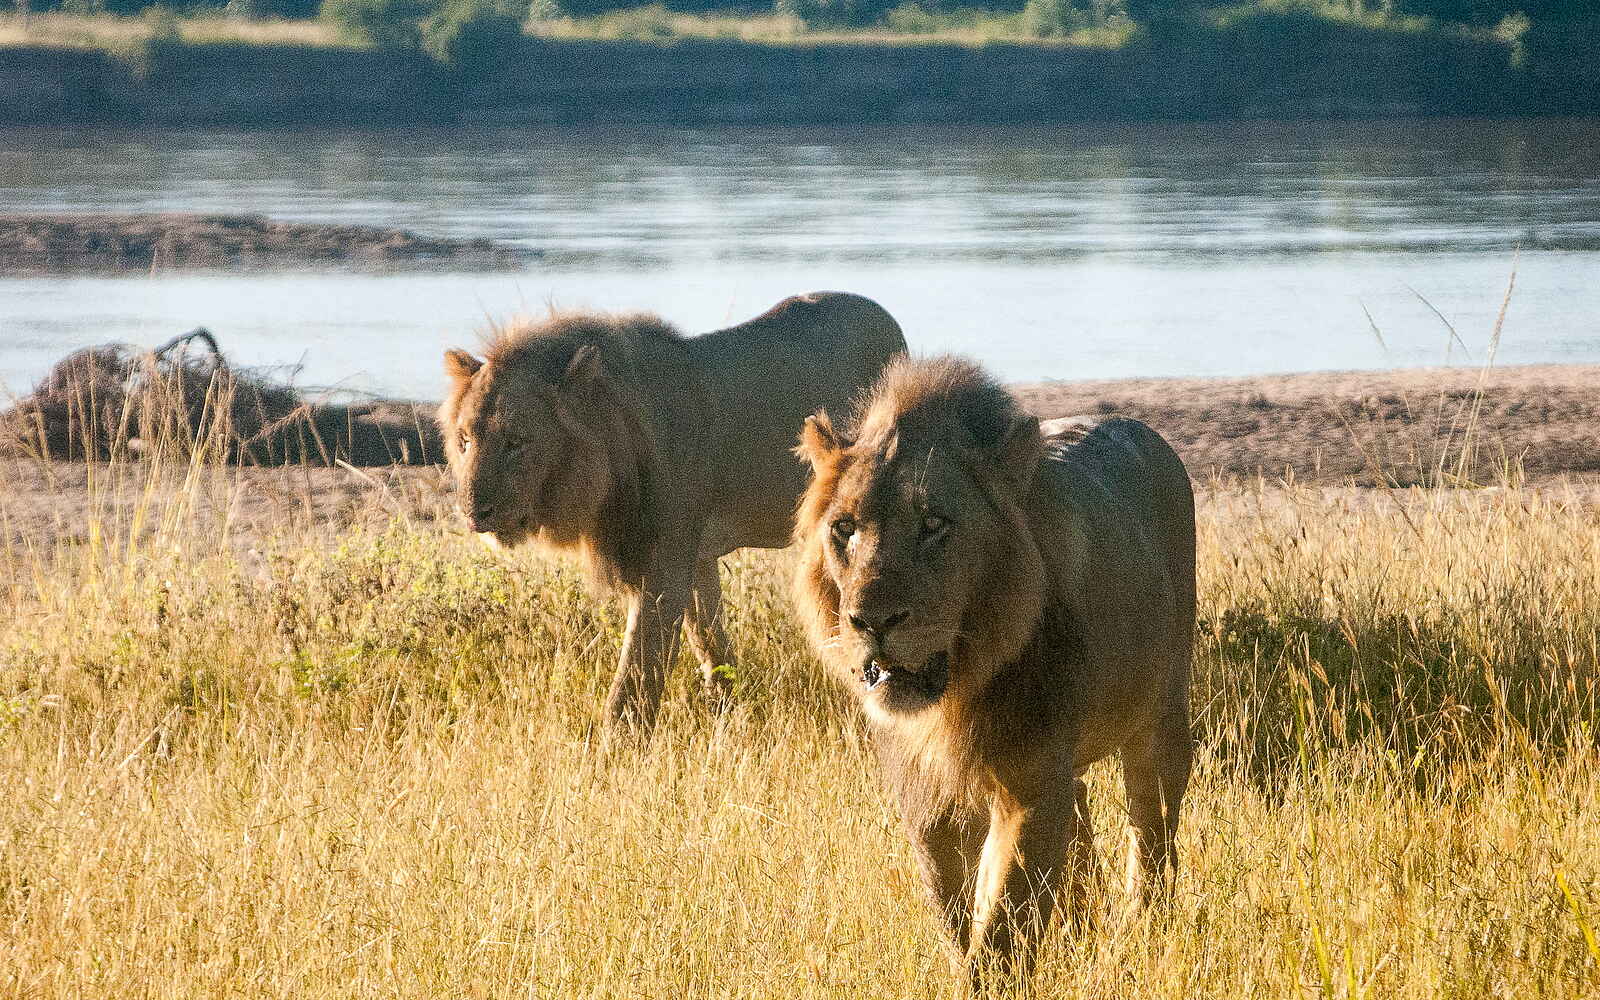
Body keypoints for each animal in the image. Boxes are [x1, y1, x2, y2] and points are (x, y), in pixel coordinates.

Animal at [440, 292, 906, 733]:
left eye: (517, 441)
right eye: (464, 440)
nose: (473, 512)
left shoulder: (665, 562)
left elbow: (639, 668)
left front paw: (615, 743)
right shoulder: (694, 557)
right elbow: (710, 642)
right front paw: (728, 711)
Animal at [793, 356, 1194, 987]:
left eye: (934, 524)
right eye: (844, 529)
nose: (871, 621)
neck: (954, 694)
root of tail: (1149, 434)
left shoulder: (1028, 784)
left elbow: (1004, 919)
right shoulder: (923, 799)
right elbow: (952, 905)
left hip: (1160, 717)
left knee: (1151, 827)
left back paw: (1141, 924)